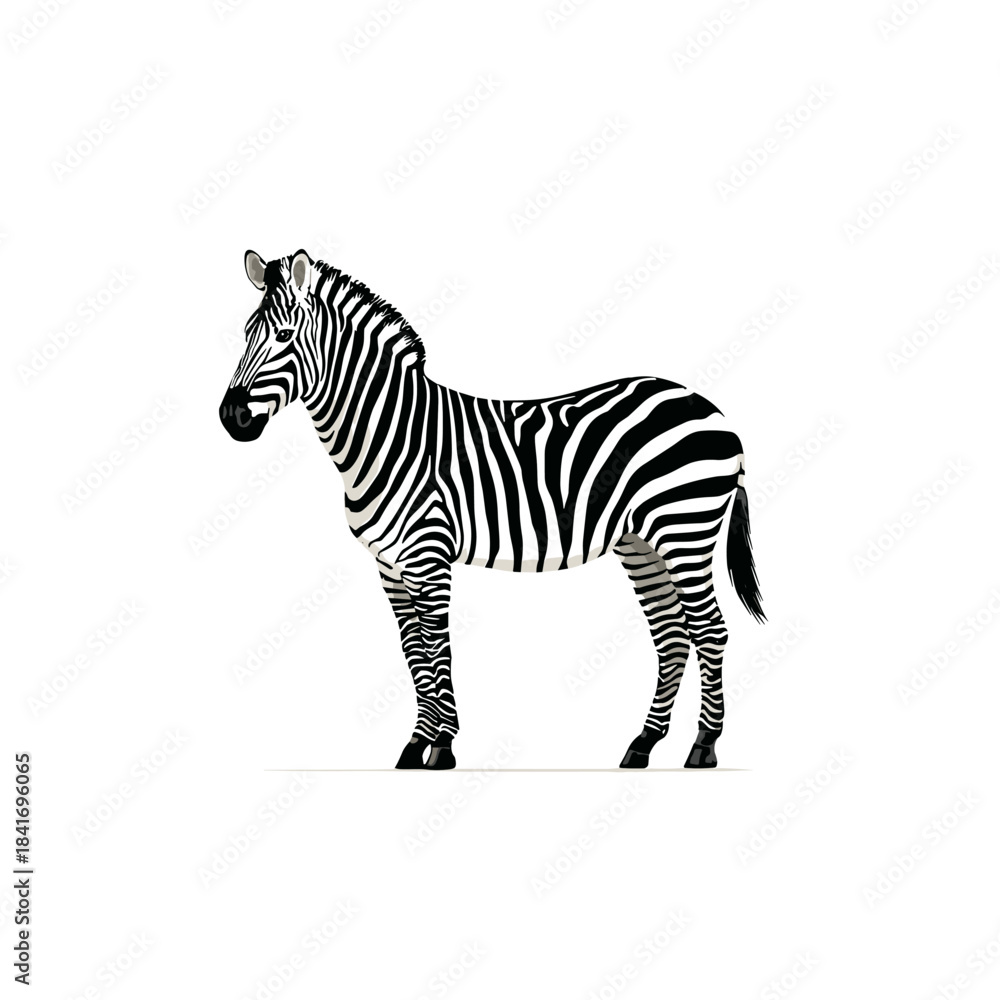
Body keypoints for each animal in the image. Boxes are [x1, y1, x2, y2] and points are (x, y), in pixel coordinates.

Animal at [219, 249, 765, 770]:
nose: (232, 417)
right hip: (643, 542)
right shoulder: (389, 564)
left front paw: (441, 748)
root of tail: (711, 408)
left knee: (710, 629)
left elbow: (438, 648)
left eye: (285, 336)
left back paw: (703, 747)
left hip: (686, 528)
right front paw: (416, 746)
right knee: (671, 635)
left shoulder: (428, 554)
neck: (390, 434)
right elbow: (414, 652)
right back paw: (643, 745)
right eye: (245, 334)